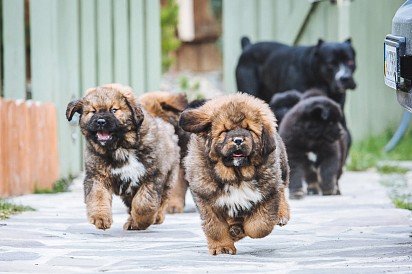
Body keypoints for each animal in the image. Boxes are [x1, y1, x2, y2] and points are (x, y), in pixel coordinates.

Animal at [65, 83, 179, 231]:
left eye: (114, 110)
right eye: (93, 111)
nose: (100, 121)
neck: (120, 148)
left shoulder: (153, 176)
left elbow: (145, 203)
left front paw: (141, 222)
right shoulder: (97, 176)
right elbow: (98, 196)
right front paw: (100, 218)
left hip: (169, 177)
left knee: (162, 200)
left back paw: (155, 218)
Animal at [179, 93, 290, 256]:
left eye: (249, 129)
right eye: (225, 131)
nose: (238, 140)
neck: (237, 176)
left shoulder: (268, 192)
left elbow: (259, 225)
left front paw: (242, 230)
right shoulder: (206, 196)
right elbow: (215, 227)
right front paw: (222, 247)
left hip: (280, 169)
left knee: (282, 189)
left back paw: (281, 215)